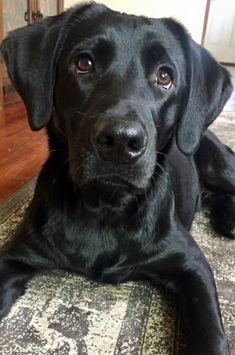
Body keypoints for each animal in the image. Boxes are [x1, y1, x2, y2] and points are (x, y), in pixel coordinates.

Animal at [0, 2, 235, 354]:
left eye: (165, 76)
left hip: (220, 166)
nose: (122, 141)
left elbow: (210, 329)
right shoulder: (16, 254)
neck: (105, 206)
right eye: (84, 63)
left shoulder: (192, 264)